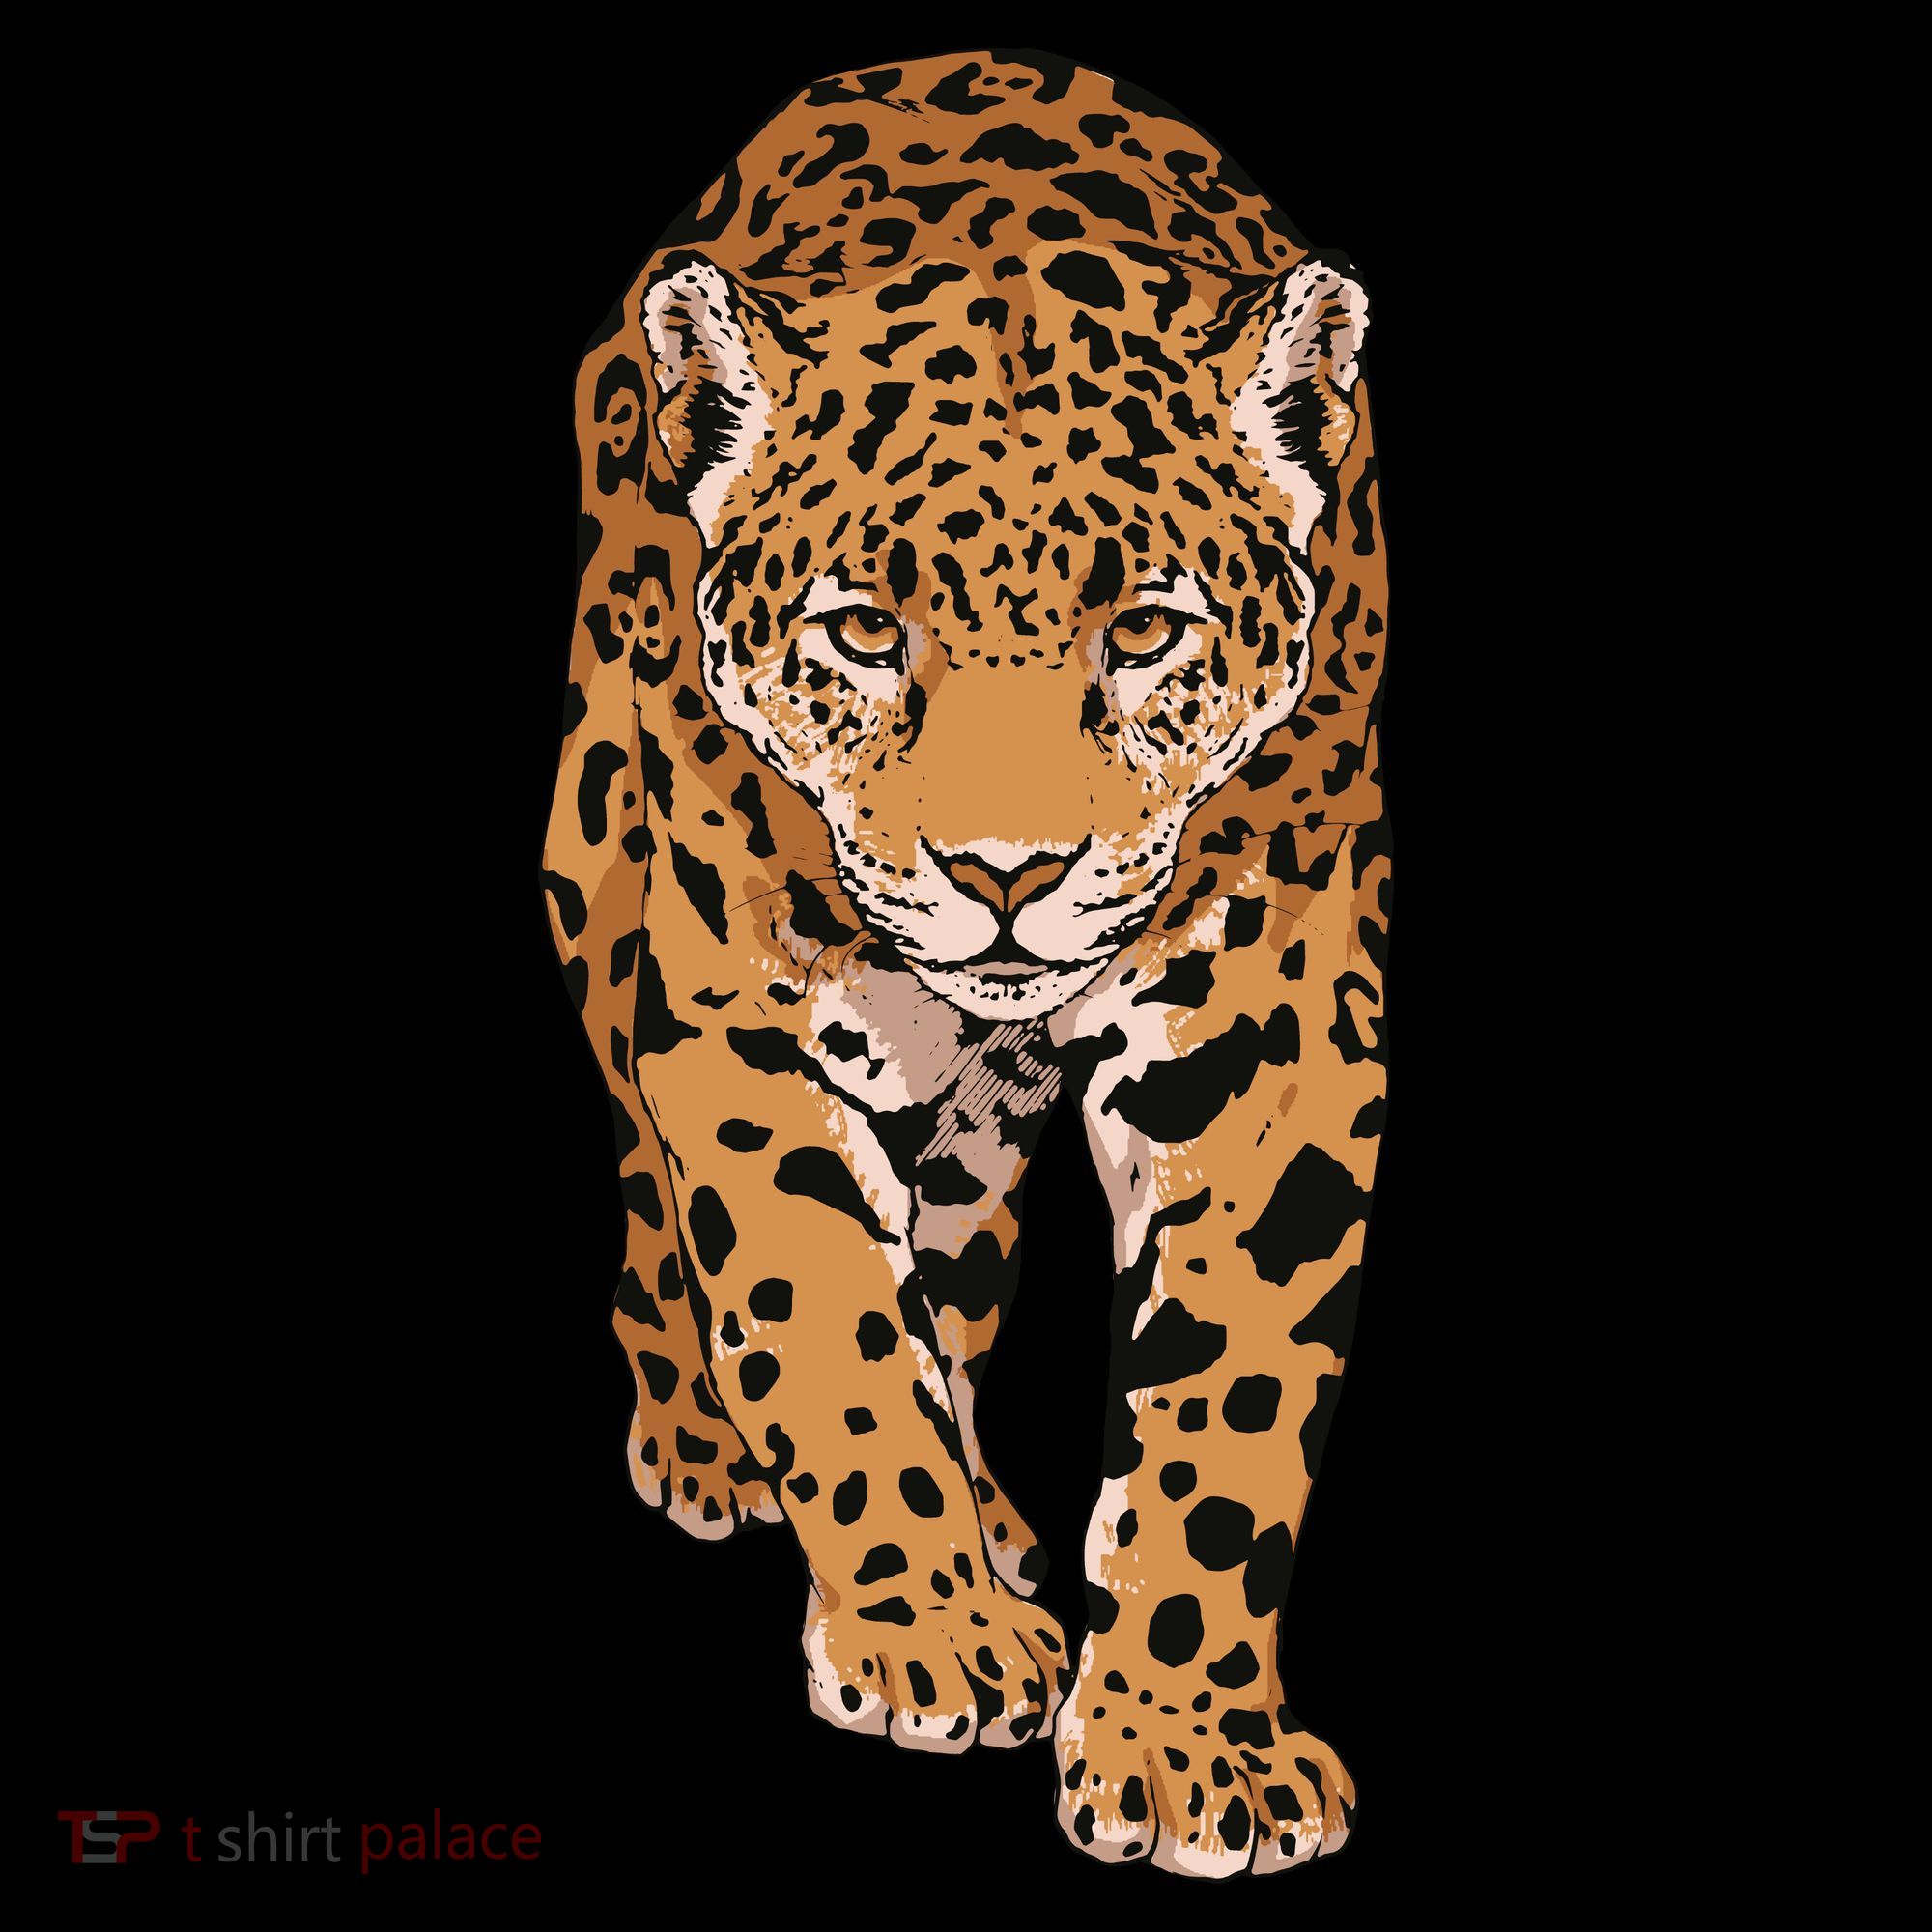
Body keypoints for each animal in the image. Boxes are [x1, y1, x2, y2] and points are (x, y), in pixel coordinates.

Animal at [542, 48, 1390, 1879]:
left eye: (1142, 631)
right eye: (867, 631)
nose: (1008, 878)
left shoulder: (1272, 1036)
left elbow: (1228, 1398)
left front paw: (1190, 1743)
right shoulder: (751, 1015)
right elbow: (822, 1316)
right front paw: (925, 1634)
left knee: (955, 1240)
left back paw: (994, 1514)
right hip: (595, 862)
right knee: (653, 1179)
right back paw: (715, 1443)